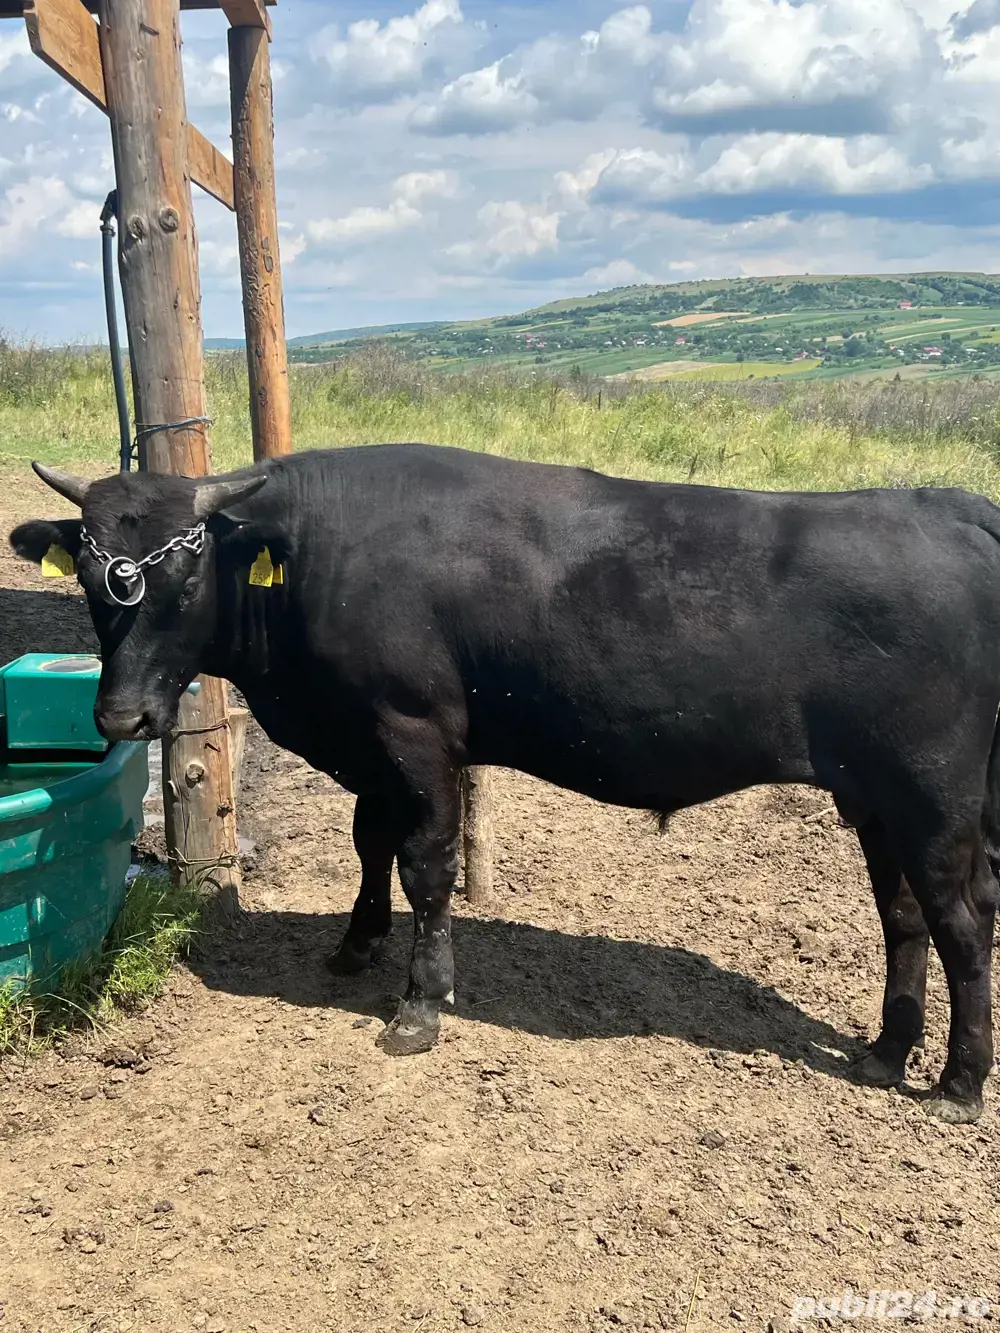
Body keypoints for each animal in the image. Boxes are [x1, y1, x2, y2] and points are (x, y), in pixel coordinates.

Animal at [10, 444, 1000, 1123]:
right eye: (93, 580)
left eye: (184, 578)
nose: (122, 717)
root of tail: (948, 506)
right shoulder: (370, 742)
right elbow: (369, 841)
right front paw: (357, 942)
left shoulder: (416, 731)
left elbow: (427, 864)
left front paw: (420, 1004)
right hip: (874, 796)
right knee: (903, 913)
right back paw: (886, 1050)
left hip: (933, 794)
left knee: (960, 919)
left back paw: (958, 1080)